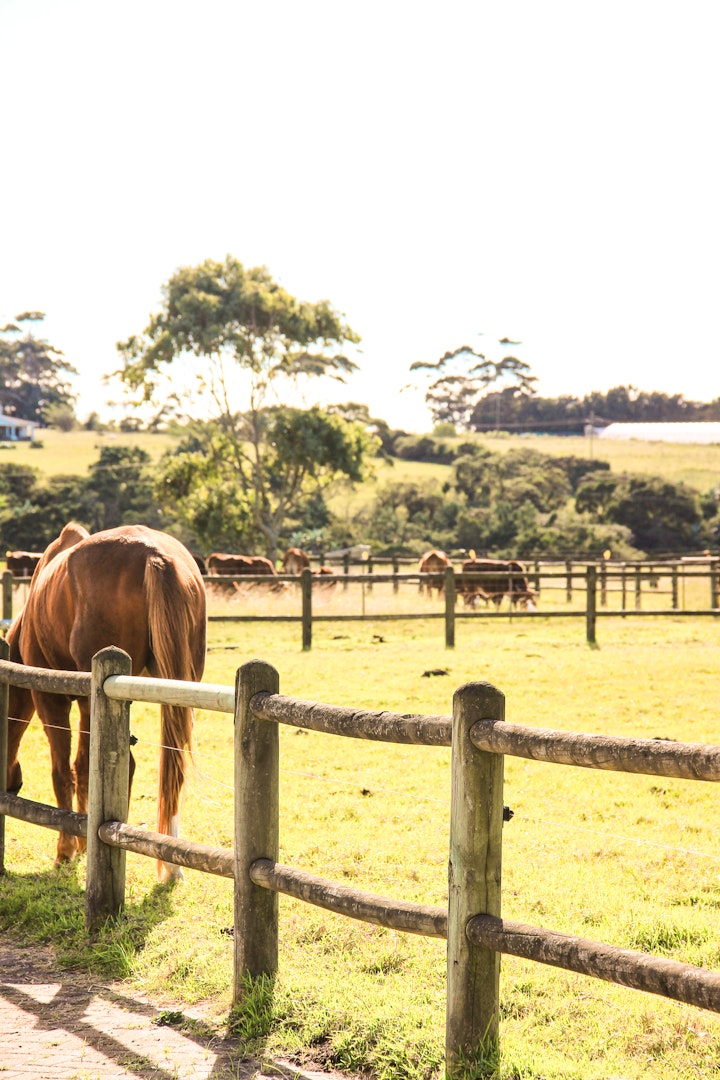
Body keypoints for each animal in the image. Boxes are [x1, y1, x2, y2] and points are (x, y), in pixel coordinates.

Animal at [5, 520, 207, 876]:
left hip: (92, 700)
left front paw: (68, 848)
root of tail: (154, 554)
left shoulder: (51, 699)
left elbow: (65, 771)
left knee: (92, 766)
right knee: (168, 766)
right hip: (178, 689)